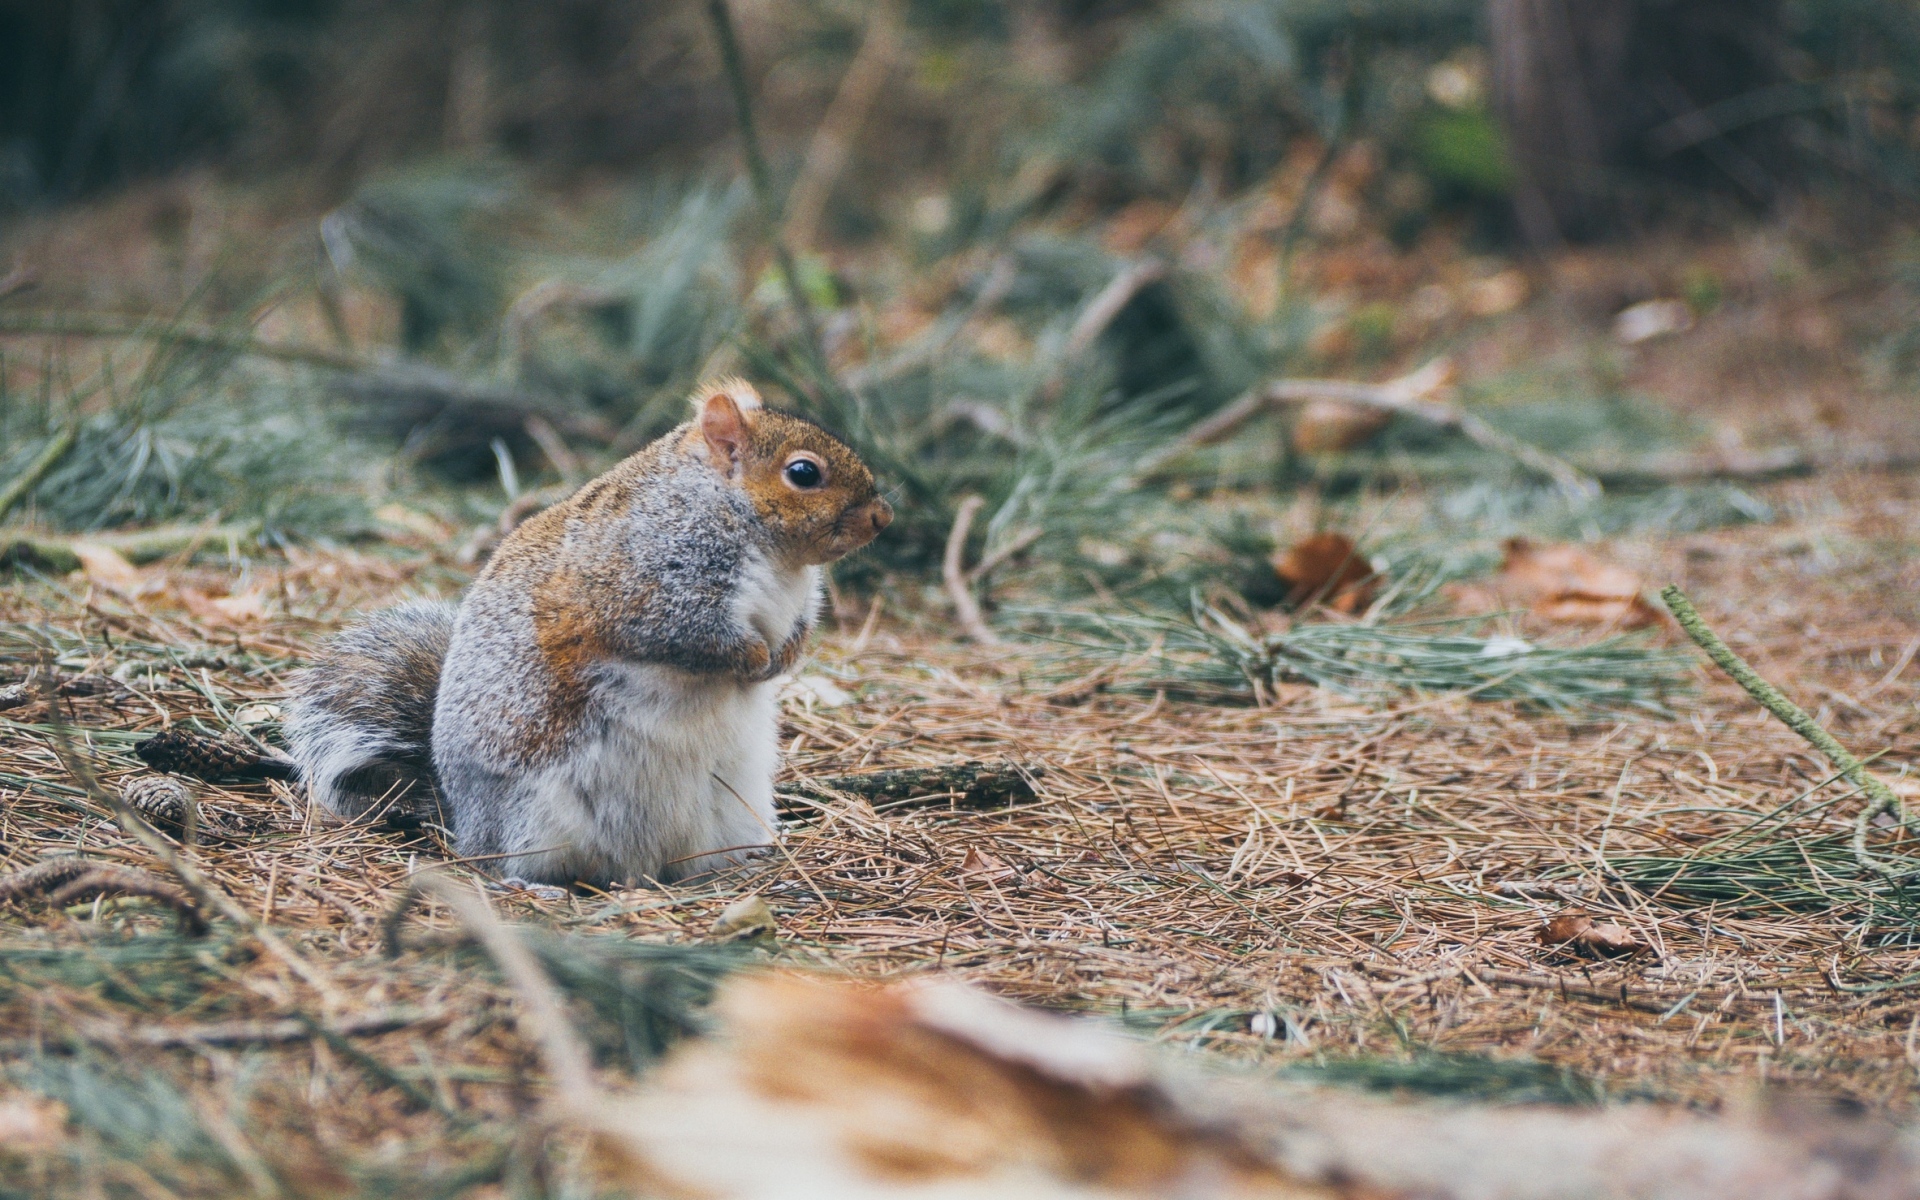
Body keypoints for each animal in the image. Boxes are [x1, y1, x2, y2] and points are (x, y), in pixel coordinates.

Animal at [286, 378, 892, 886]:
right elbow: (690, 636)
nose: (883, 518)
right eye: (804, 473)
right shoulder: (642, 587)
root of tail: (461, 817)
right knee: (506, 861)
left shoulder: (798, 603)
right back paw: (529, 882)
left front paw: (783, 658)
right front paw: (751, 659)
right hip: (533, 816)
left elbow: (798, 631)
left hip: (733, 809)